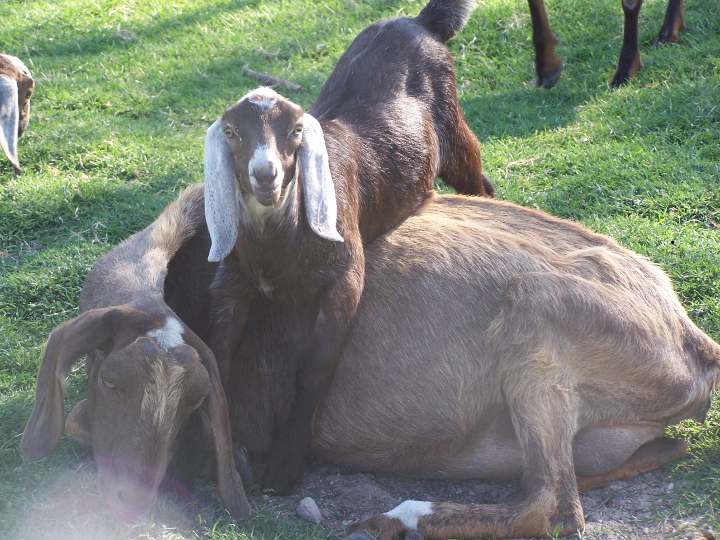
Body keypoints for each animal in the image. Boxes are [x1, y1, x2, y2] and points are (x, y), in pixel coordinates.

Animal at [19, 184, 716, 536]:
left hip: (533, 325)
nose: (128, 499)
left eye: (193, 401)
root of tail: (690, 338)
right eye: (112, 380)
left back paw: (397, 517)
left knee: (552, 504)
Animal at [202, 0, 492, 494]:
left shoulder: (345, 278)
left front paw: (284, 467)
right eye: (231, 133)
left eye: (296, 130)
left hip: (453, 130)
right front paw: (228, 455)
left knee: (480, 180)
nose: (266, 174)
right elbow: (218, 356)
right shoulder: (231, 281)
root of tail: (417, 22)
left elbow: (314, 370)